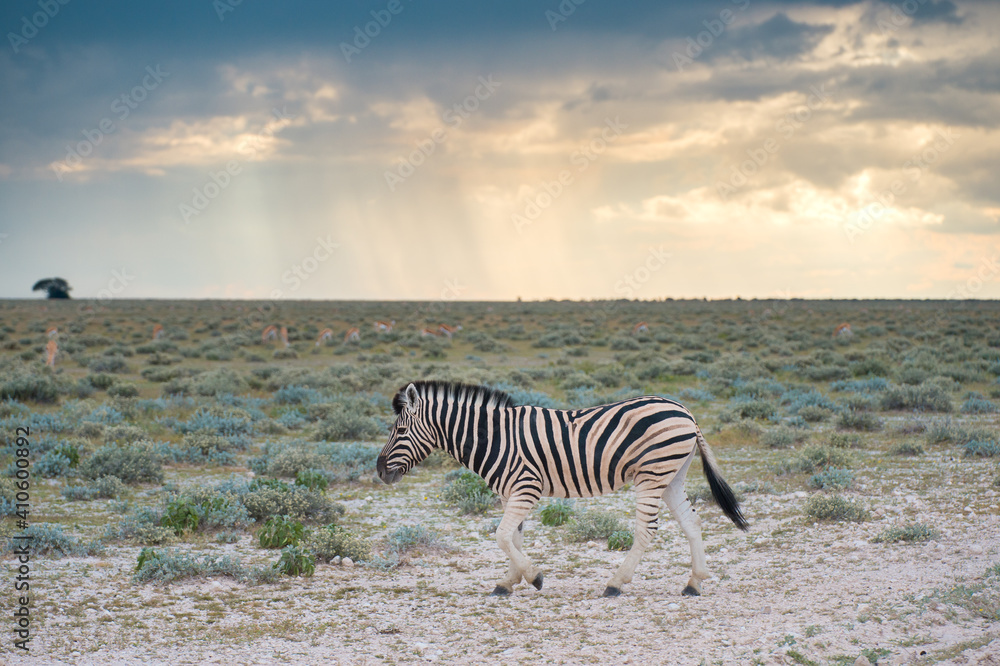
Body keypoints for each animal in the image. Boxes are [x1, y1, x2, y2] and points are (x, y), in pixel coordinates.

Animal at [376, 381, 748, 597]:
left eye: (400, 430)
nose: (379, 471)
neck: (494, 438)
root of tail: (685, 412)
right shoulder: (511, 492)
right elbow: (513, 538)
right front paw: (509, 582)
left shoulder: (526, 487)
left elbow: (501, 536)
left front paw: (534, 577)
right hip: (672, 476)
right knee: (692, 523)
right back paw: (694, 582)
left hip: (652, 473)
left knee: (646, 530)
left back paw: (615, 583)